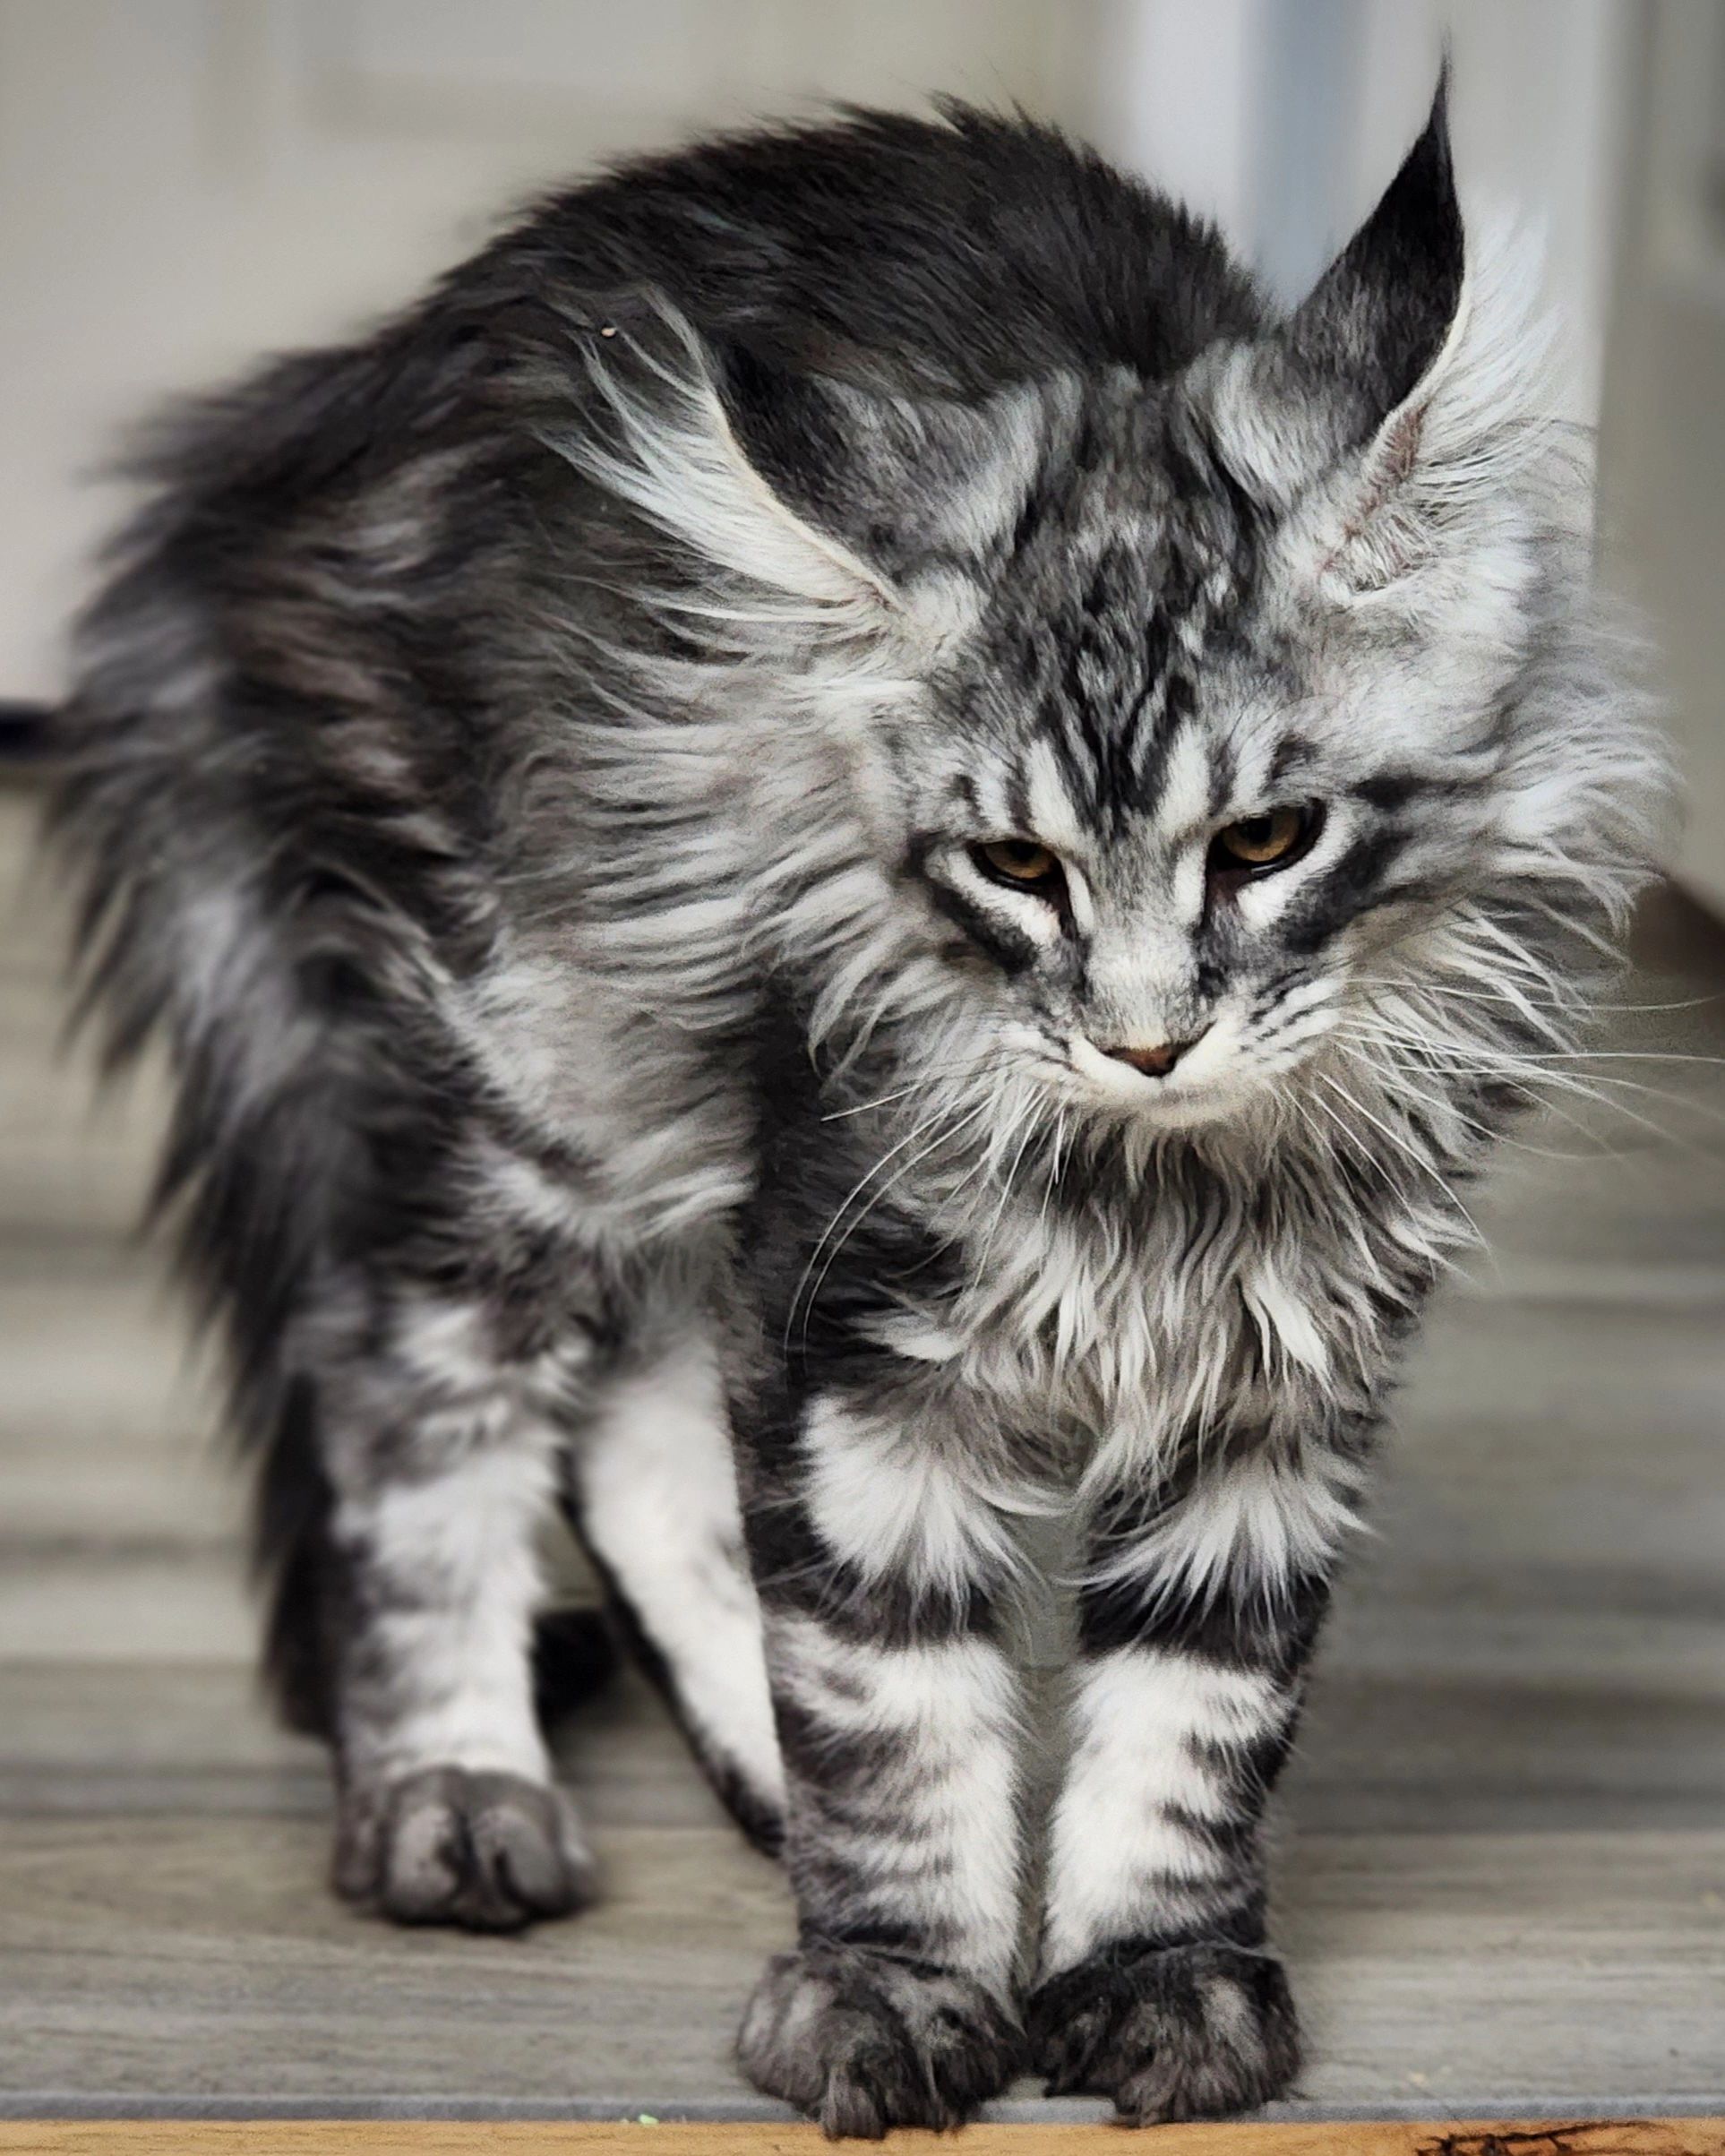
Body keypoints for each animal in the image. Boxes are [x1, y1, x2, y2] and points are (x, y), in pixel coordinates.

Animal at [56, 83, 1673, 2138]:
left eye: (1266, 842)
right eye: (1014, 866)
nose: (1147, 1041)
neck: (1153, 1193)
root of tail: (303, 422)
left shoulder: (1275, 1374)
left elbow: (1194, 1711)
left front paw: (1156, 1986)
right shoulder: (856, 1321)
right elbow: (887, 1693)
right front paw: (894, 1990)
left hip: (675, 1137)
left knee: (636, 1436)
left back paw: (746, 1768)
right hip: (533, 1074)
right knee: (421, 1407)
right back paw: (456, 1795)